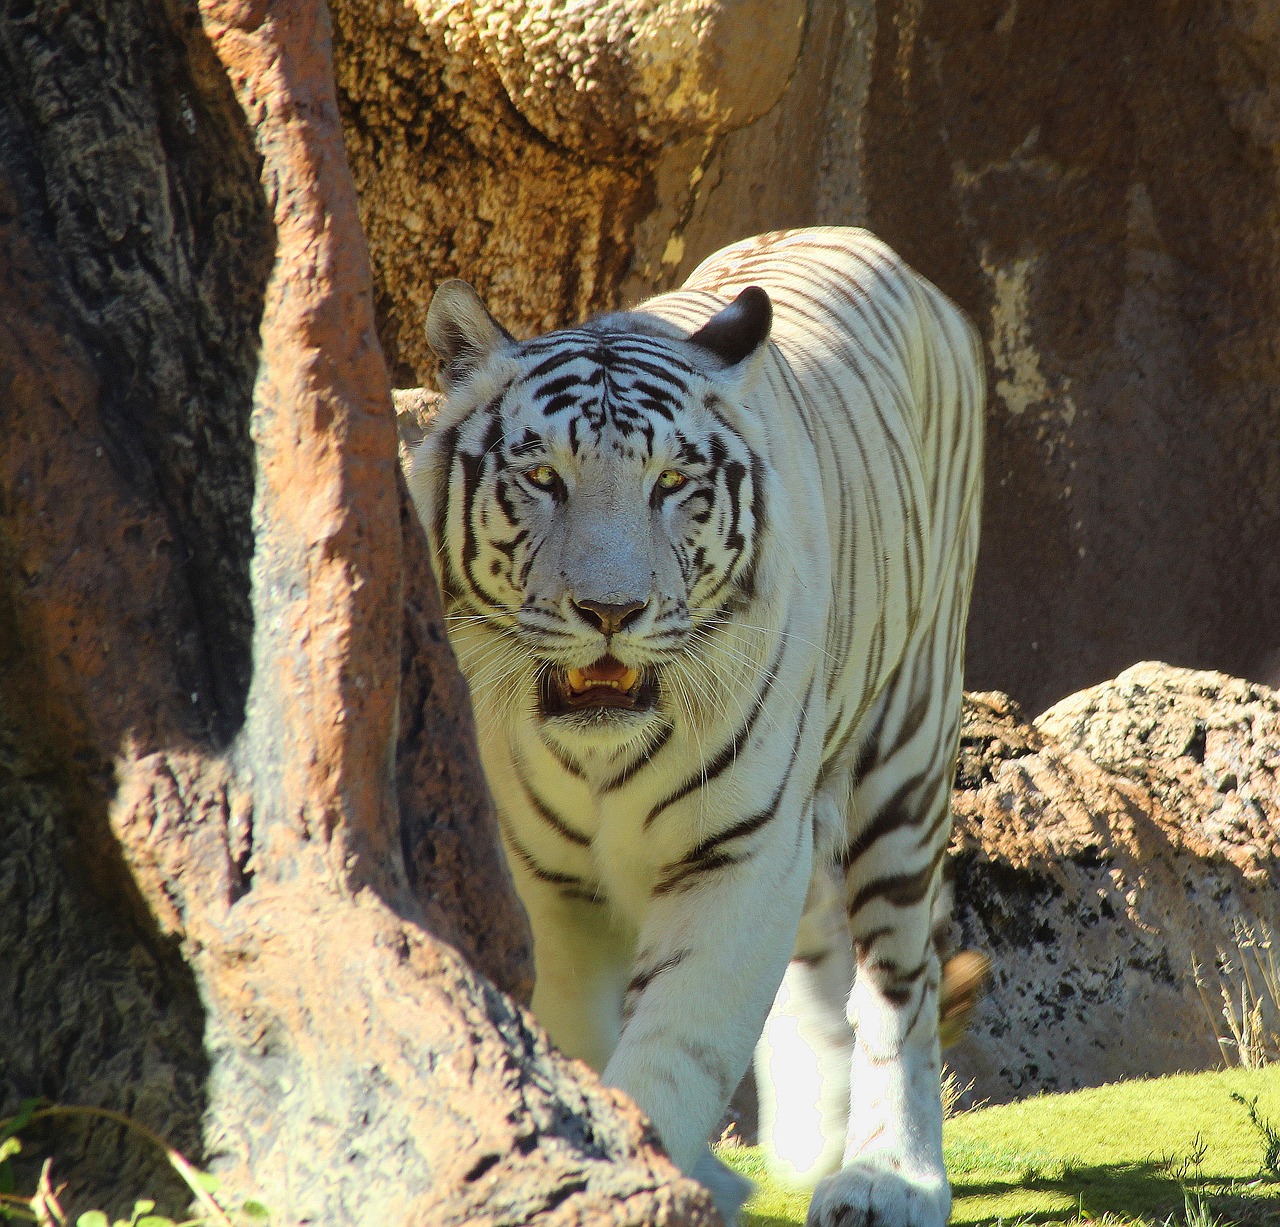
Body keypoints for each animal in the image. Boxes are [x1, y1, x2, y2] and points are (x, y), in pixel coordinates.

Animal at [404, 230, 983, 1227]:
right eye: (543, 477)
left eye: (670, 483)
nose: (610, 609)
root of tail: (877, 247)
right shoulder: (546, 877)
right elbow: (582, 1030)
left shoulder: (739, 852)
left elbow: (681, 1042)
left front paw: (649, 1167)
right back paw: (810, 1136)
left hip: (906, 753)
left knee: (898, 984)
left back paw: (886, 1175)